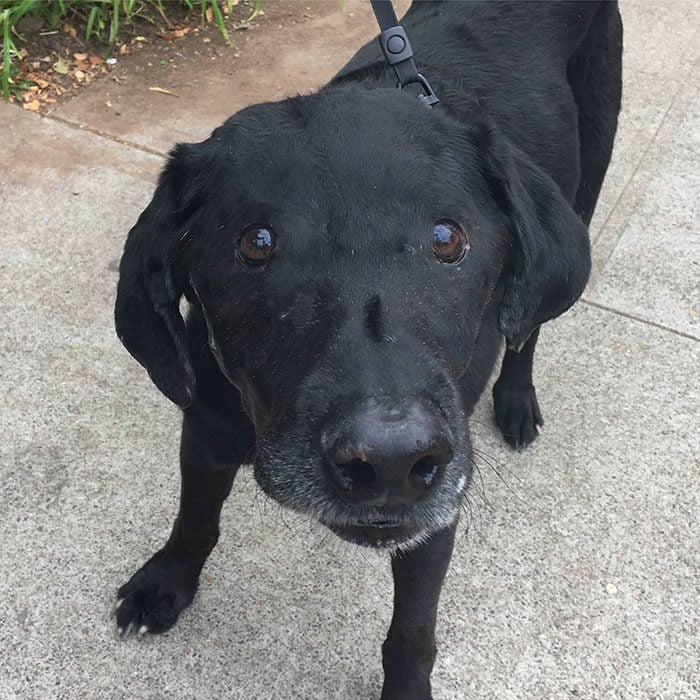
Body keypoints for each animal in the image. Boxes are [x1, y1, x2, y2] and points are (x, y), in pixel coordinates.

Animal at [115, 4, 624, 696]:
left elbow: (412, 632)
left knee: (529, 326)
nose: (390, 460)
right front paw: (166, 583)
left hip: (589, 171)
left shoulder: (434, 518)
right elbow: (195, 517)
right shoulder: (206, 428)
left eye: (447, 237)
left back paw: (517, 397)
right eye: (256, 242)